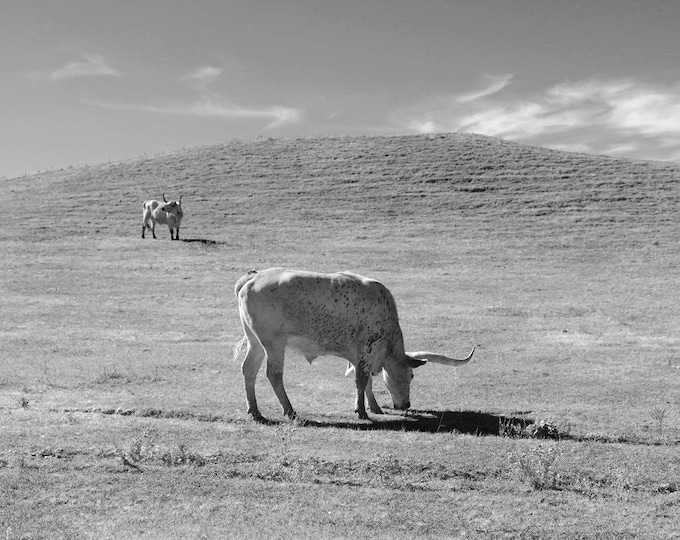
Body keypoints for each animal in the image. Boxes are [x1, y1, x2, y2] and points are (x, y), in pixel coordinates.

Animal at [234, 268, 472, 420]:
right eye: (411, 375)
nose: (406, 405)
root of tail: (253, 277)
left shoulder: (360, 357)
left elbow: (367, 383)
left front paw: (374, 407)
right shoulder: (367, 350)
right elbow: (361, 382)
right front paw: (362, 411)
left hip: (256, 342)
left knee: (248, 370)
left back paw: (254, 411)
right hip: (274, 343)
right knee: (274, 374)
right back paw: (289, 410)